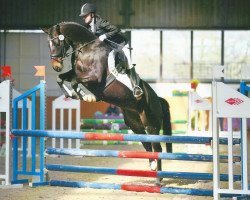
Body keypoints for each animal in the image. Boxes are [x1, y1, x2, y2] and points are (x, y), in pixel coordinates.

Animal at [42, 21, 172, 184]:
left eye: (57, 42)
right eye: (48, 44)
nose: (56, 66)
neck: (86, 49)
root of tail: (158, 99)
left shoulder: (94, 77)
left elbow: (74, 81)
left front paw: (86, 96)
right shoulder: (75, 72)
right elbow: (61, 78)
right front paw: (72, 94)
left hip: (151, 124)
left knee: (157, 148)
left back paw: (158, 178)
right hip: (135, 124)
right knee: (147, 145)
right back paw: (153, 167)